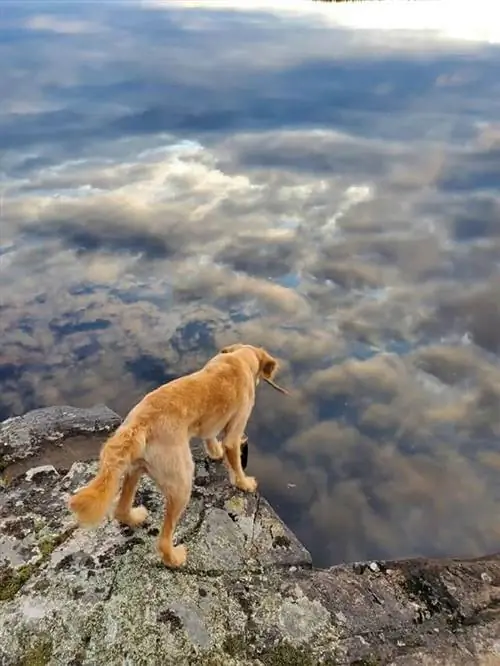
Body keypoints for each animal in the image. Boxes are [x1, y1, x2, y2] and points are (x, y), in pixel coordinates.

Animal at [67, 342, 282, 564]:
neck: (239, 358)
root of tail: (139, 424)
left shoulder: (210, 426)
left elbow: (210, 437)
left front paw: (215, 451)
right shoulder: (235, 430)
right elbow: (236, 463)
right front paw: (245, 483)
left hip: (135, 469)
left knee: (120, 508)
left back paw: (134, 518)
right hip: (182, 483)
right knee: (164, 539)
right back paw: (174, 558)